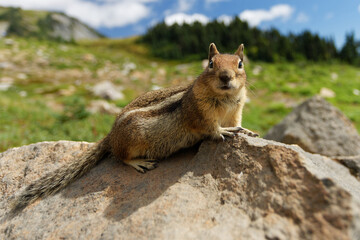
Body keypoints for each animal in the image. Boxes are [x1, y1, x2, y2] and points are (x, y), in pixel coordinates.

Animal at [9, 42, 258, 214]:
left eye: (240, 64)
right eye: (211, 64)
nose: (225, 77)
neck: (224, 99)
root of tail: (110, 136)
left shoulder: (236, 111)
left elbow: (238, 124)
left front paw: (247, 131)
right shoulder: (198, 114)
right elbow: (211, 128)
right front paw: (223, 132)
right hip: (132, 141)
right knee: (120, 157)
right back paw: (139, 163)